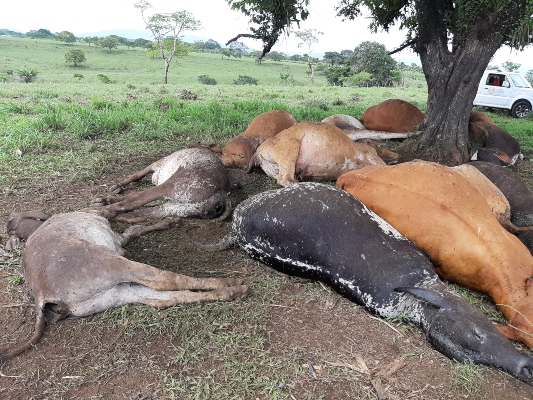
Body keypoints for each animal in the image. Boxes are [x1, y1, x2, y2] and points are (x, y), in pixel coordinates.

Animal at [1, 212, 247, 360]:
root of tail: (41, 295)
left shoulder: (118, 239)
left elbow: (131, 230)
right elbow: (114, 214)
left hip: (114, 294)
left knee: (166, 299)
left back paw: (231, 292)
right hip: (111, 264)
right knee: (168, 280)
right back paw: (230, 283)